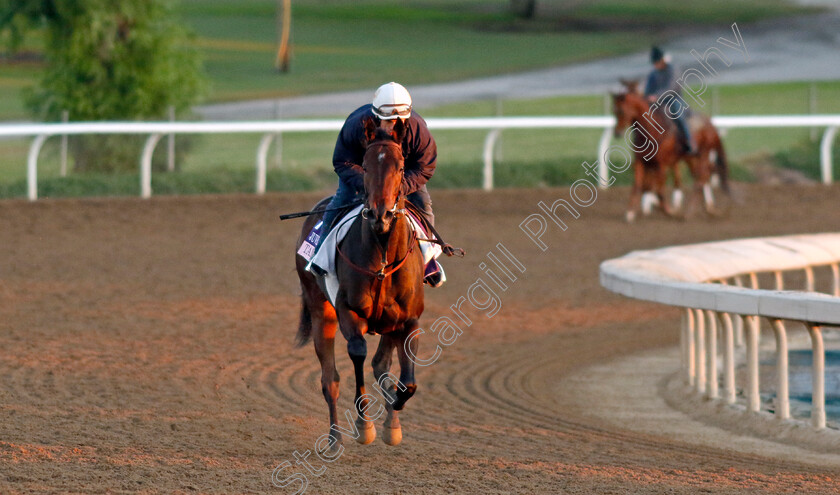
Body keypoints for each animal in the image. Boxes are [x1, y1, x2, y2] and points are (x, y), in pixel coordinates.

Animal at [296, 116, 426, 450]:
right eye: (365, 166)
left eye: (400, 167)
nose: (381, 214)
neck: (382, 258)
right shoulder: (348, 312)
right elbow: (357, 353)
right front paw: (365, 424)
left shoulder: (408, 318)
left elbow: (407, 382)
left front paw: (393, 415)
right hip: (321, 312)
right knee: (329, 380)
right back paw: (334, 438)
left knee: (381, 366)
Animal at [612, 80, 728, 223]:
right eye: (614, 111)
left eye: (621, 111)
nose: (616, 133)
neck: (651, 131)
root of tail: (710, 123)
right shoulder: (640, 163)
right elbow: (640, 186)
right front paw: (630, 212)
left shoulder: (661, 165)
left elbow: (658, 190)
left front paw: (669, 210)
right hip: (691, 158)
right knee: (701, 176)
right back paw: (707, 207)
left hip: (702, 154)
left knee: (702, 177)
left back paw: (691, 211)